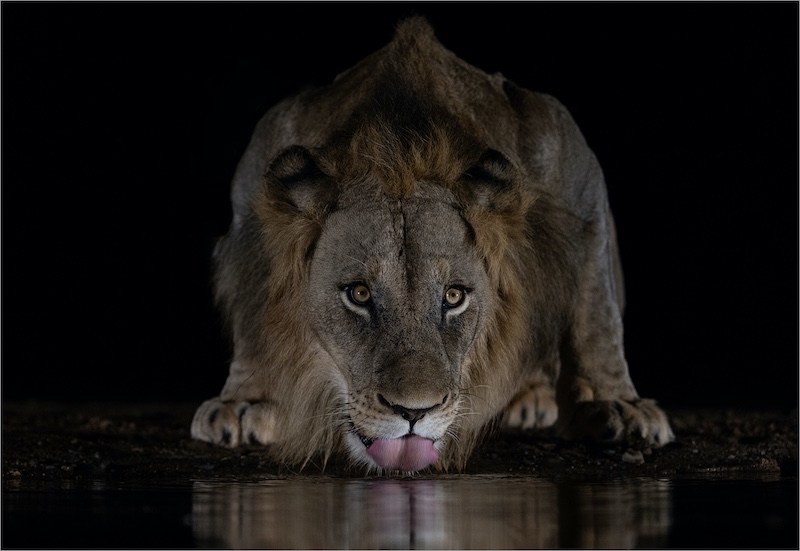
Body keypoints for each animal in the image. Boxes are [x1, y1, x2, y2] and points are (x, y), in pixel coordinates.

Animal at [191, 16, 674, 473]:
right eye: (359, 294)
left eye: (454, 297)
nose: (413, 413)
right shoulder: (254, 188)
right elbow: (253, 308)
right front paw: (245, 401)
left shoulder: (574, 174)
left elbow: (596, 313)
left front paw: (617, 405)